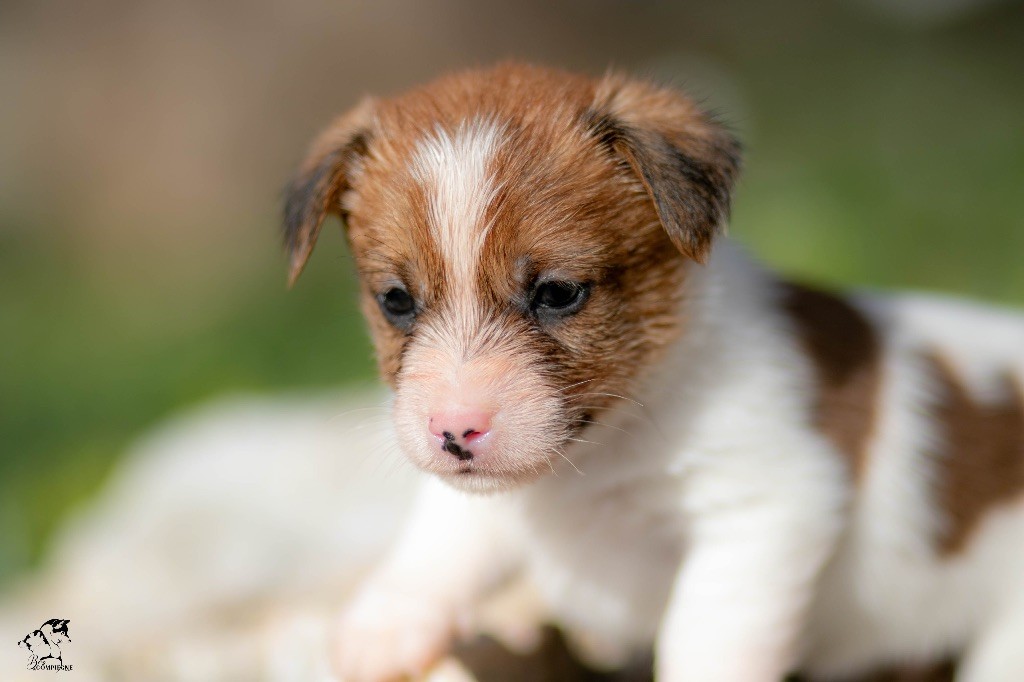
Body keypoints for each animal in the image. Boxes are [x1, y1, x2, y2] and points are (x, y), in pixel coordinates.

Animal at [283, 63, 1024, 681]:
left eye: (558, 293)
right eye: (395, 301)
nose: (454, 431)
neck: (604, 448)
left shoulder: (761, 510)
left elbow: (704, 639)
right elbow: (443, 539)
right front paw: (386, 624)